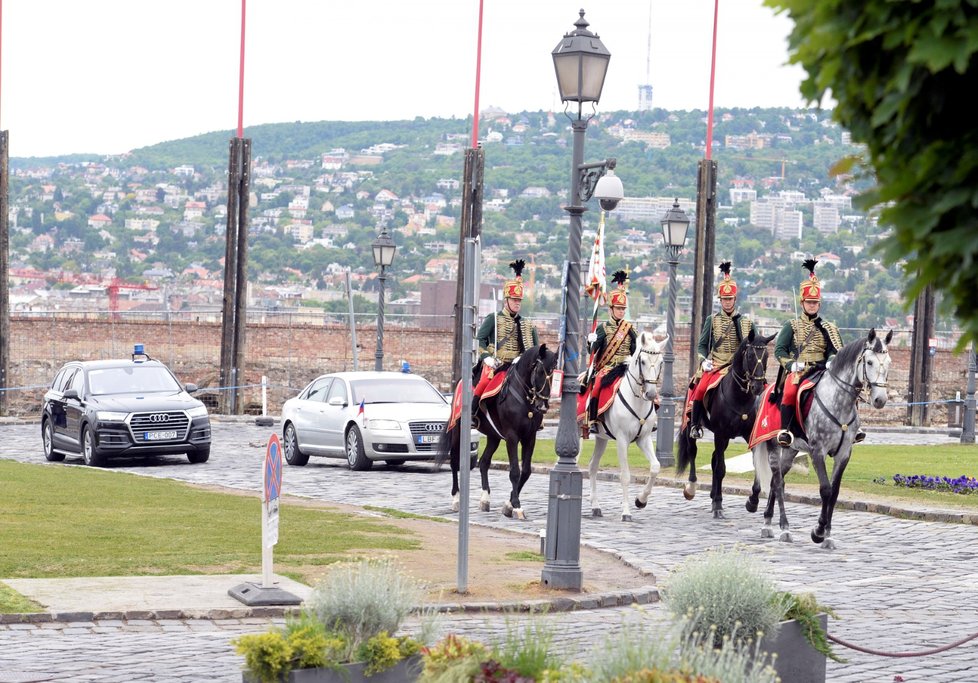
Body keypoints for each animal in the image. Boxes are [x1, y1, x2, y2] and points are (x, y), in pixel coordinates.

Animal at [676, 330, 772, 520]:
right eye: (750, 355)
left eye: (766, 355)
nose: (758, 386)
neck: (741, 397)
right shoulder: (721, 434)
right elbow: (721, 469)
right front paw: (718, 505)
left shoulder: (749, 435)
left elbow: (754, 465)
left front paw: (752, 501)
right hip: (692, 426)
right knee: (693, 452)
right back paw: (692, 487)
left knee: (713, 459)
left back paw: (713, 494)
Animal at [748, 328, 892, 548]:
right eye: (869, 362)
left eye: (889, 362)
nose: (880, 399)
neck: (839, 402)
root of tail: (765, 391)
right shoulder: (818, 451)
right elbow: (825, 489)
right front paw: (818, 531)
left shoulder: (844, 454)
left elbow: (834, 492)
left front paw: (827, 535)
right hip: (773, 445)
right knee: (778, 481)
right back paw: (784, 528)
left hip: (791, 450)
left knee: (775, 480)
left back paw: (768, 522)